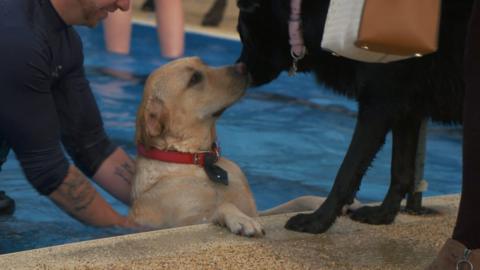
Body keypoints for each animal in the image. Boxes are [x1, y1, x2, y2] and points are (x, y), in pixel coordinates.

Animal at [236, 0, 472, 233]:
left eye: (243, 35)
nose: (238, 71)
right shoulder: (407, 110)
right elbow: (401, 170)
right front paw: (383, 215)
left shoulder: (378, 106)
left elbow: (347, 172)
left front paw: (318, 221)